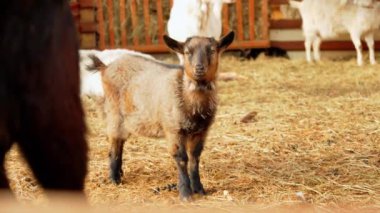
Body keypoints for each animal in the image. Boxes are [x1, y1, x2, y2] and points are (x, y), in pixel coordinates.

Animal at [91, 31, 236, 200]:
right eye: (187, 52)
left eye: (212, 50)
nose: (199, 68)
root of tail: (106, 67)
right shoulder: (173, 129)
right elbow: (182, 159)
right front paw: (186, 194)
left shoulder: (201, 131)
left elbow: (195, 158)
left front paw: (199, 189)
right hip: (114, 111)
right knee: (114, 143)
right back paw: (114, 179)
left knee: (120, 142)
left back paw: (119, 174)